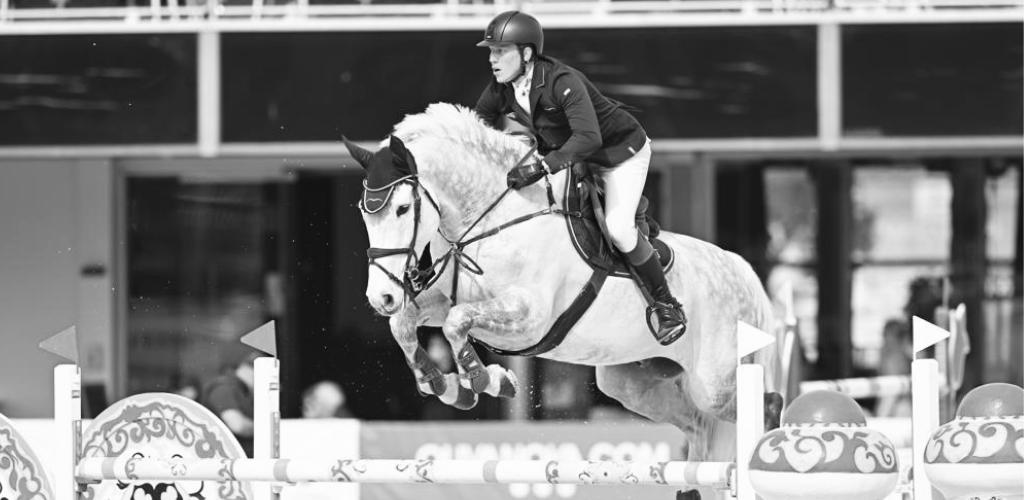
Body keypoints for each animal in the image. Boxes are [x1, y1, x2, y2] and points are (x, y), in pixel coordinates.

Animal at [344, 103, 783, 499]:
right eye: (364, 213)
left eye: (403, 208)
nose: (381, 297)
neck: (489, 220)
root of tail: (740, 269)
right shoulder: (442, 298)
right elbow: (405, 325)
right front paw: (445, 386)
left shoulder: (528, 317)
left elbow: (457, 322)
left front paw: (489, 381)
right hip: (630, 383)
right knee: (697, 426)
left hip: (714, 382)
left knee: (763, 405)